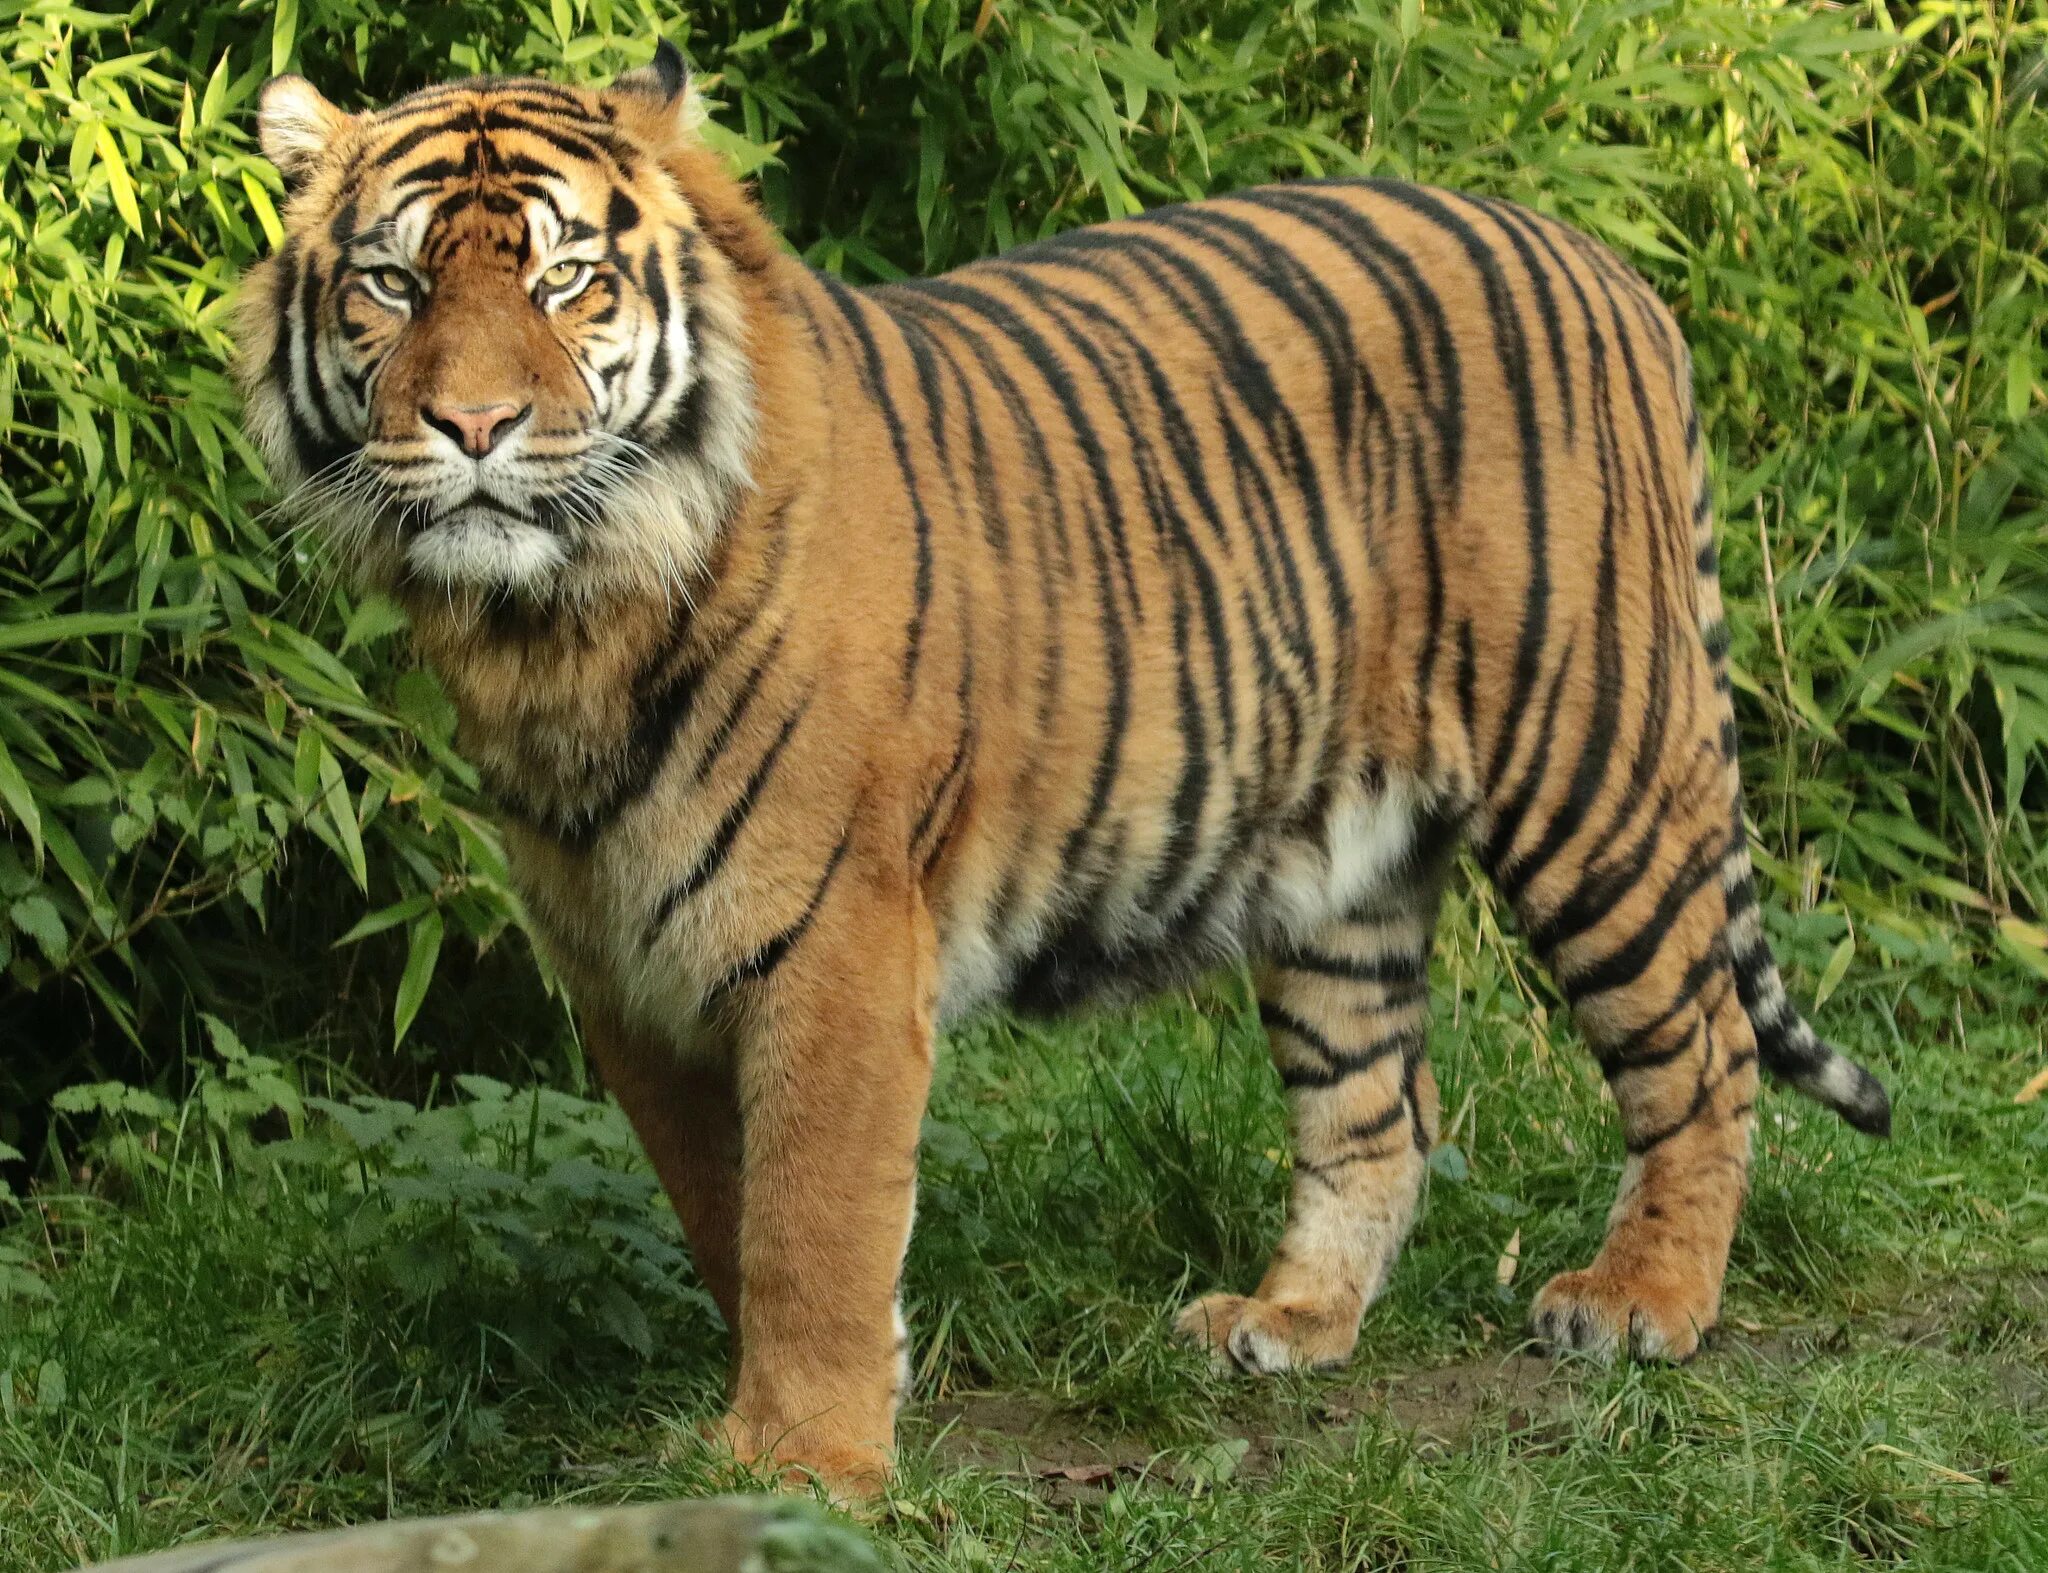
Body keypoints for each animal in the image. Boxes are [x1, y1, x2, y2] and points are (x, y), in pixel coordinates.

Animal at [236, 42, 1893, 1496]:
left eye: (565, 280)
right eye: (393, 284)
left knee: (1700, 1043)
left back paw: (1641, 1302)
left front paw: (810, 1466)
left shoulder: (836, 941)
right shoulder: (623, 966)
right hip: (1338, 866)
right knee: (1382, 1108)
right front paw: (829, 1406)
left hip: (1592, 767)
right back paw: (1290, 1323)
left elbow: (812, 1216)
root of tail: (1606, 263)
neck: (556, 629)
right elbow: (728, 1208)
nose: (473, 425)